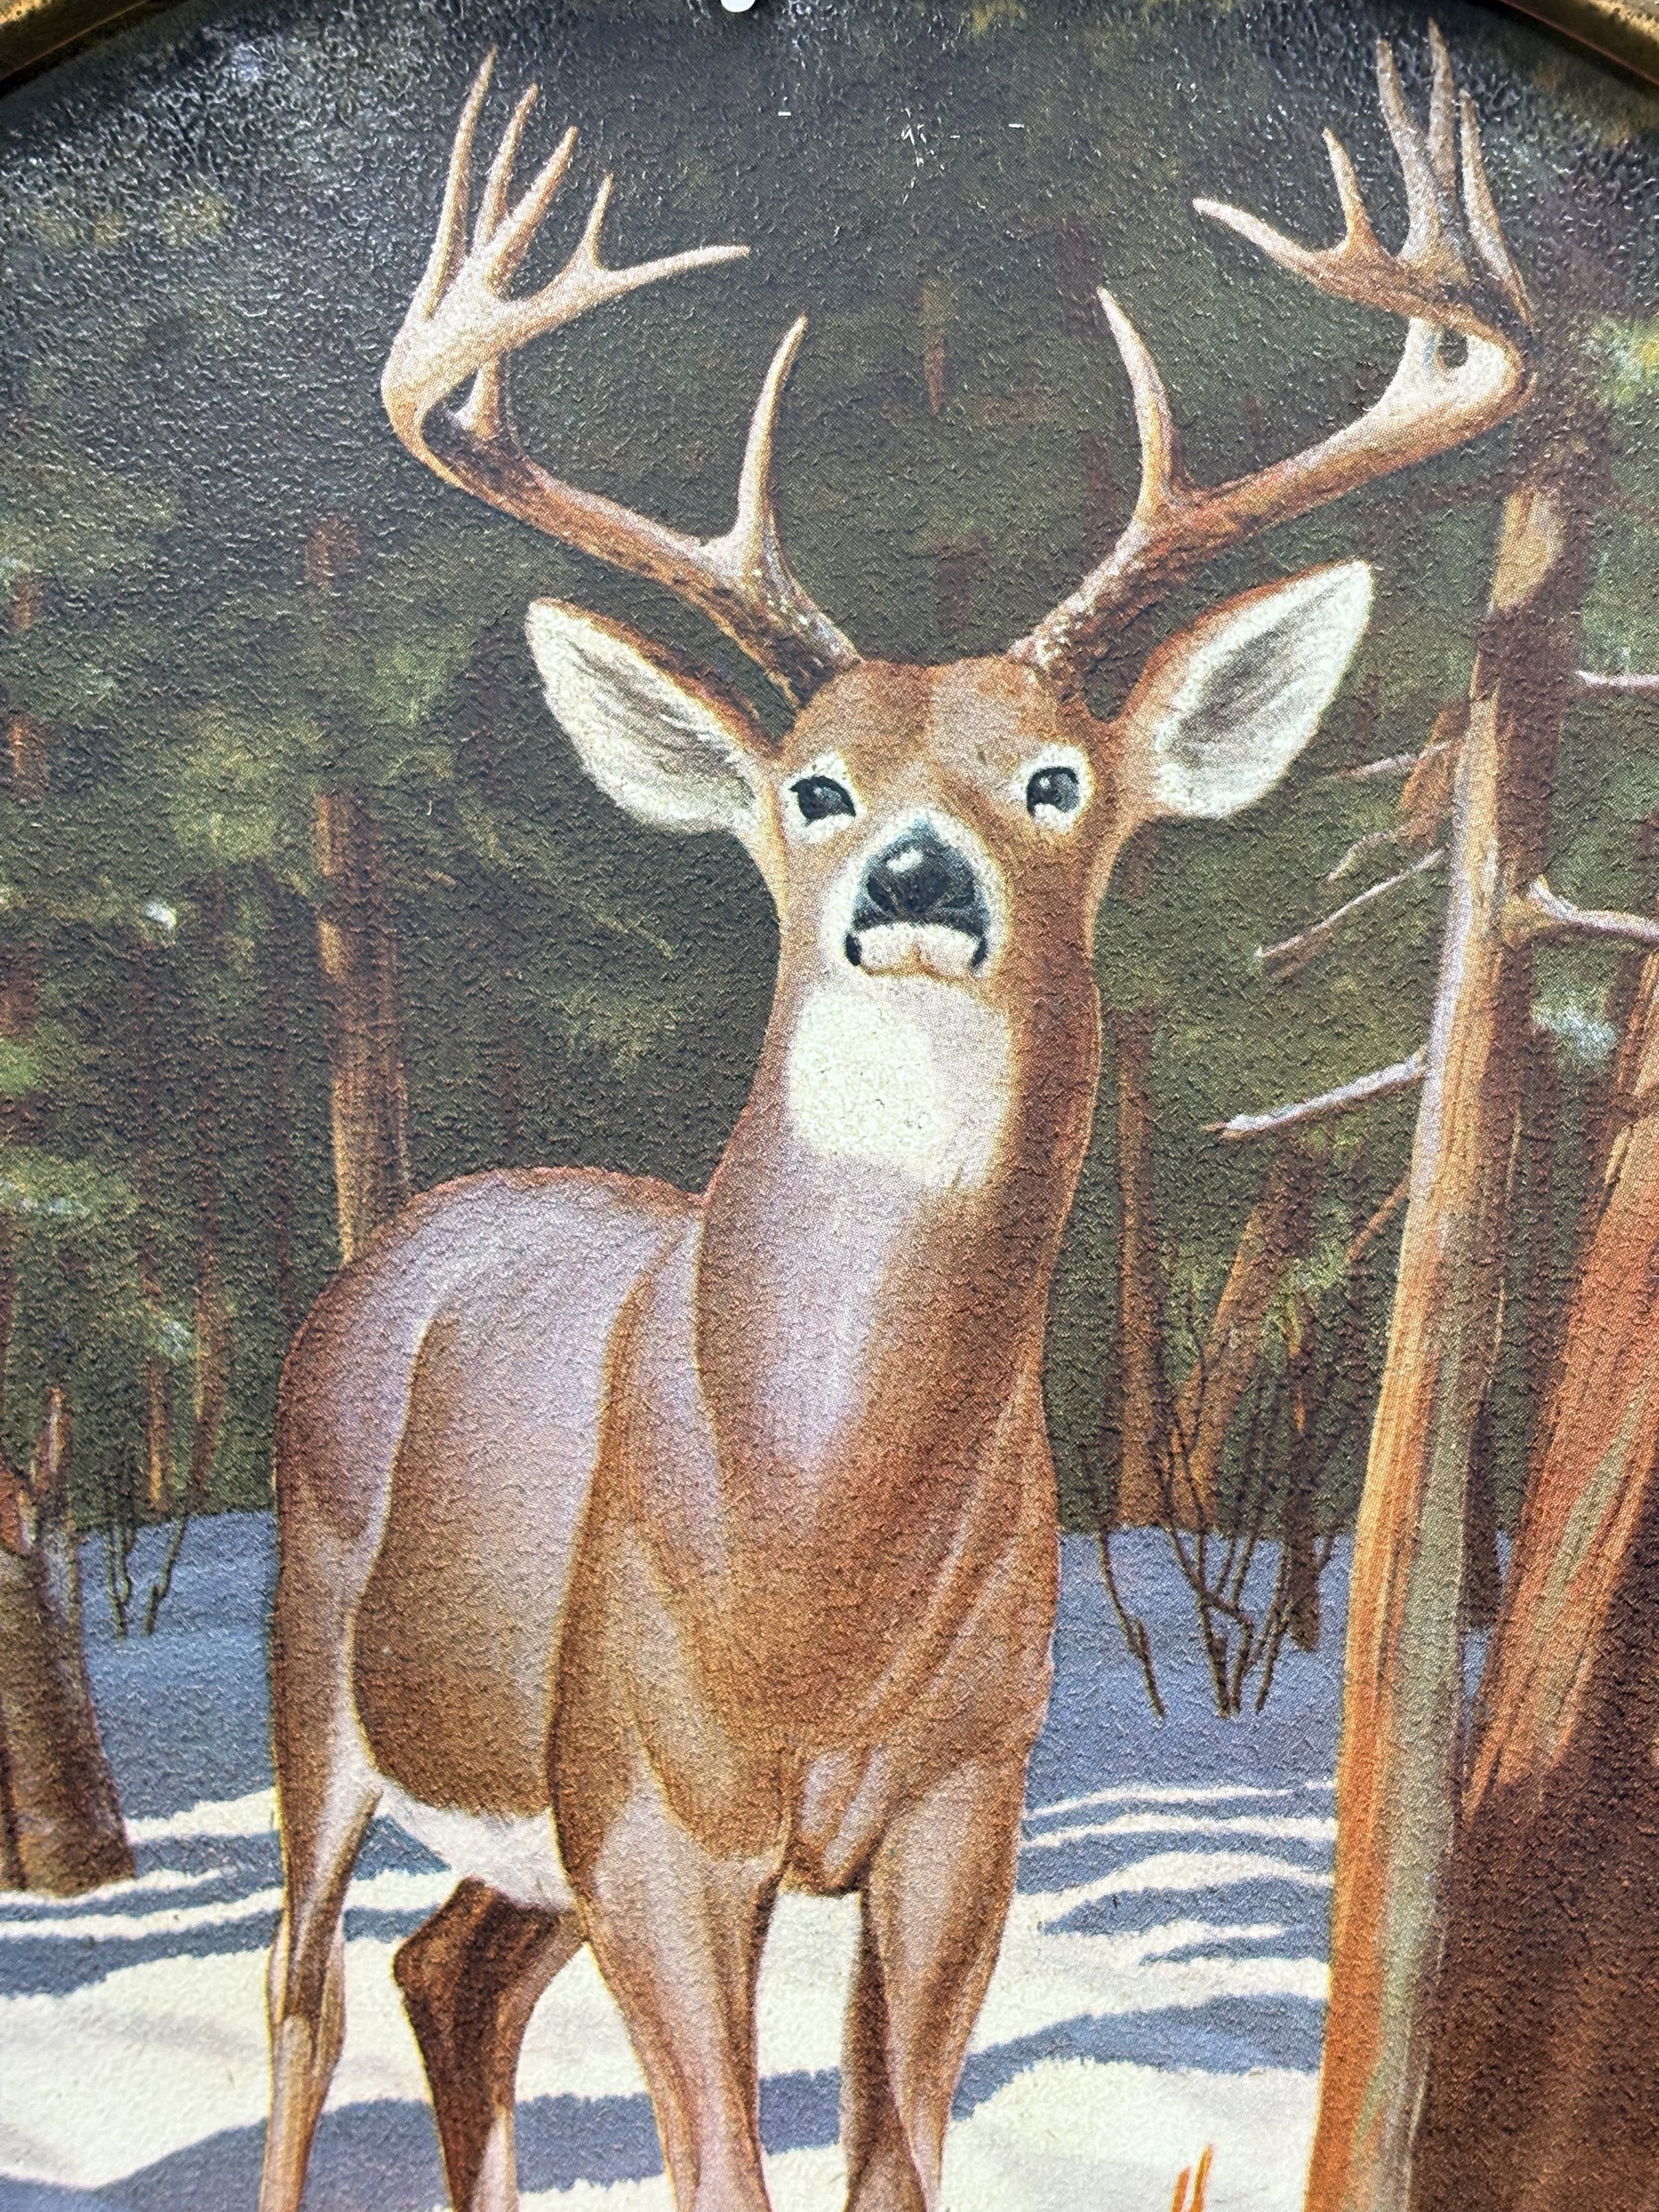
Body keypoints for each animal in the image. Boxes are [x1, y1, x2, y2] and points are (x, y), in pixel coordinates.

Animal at [260, 29, 1530, 2212]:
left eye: (1052, 779)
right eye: (815, 785)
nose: (916, 882)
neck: (806, 1571)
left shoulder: (964, 1800)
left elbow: (889, 2163)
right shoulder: (650, 1814)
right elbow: (721, 2168)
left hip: (531, 1835)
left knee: (449, 1973)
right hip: (316, 1652)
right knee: (306, 1990)